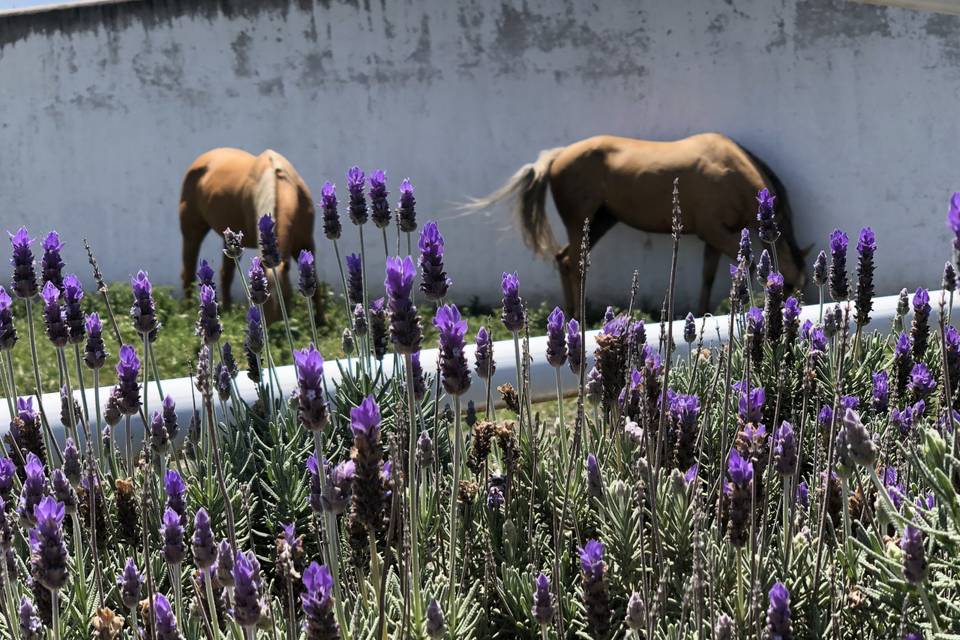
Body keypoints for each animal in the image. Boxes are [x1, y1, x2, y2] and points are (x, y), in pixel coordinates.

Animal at [178, 147, 320, 319]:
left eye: (286, 298)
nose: (276, 325)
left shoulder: (306, 243)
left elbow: (316, 283)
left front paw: (321, 320)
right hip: (192, 233)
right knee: (188, 271)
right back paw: (188, 311)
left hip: (230, 242)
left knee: (226, 274)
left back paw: (227, 311)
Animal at [467, 133, 811, 316]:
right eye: (787, 286)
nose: (794, 313)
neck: (728, 169)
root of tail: (557, 156)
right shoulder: (715, 232)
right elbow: (745, 268)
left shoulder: (712, 239)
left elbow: (708, 276)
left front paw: (703, 312)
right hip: (582, 223)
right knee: (572, 264)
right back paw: (578, 315)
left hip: (601, 222)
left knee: (563, 260)